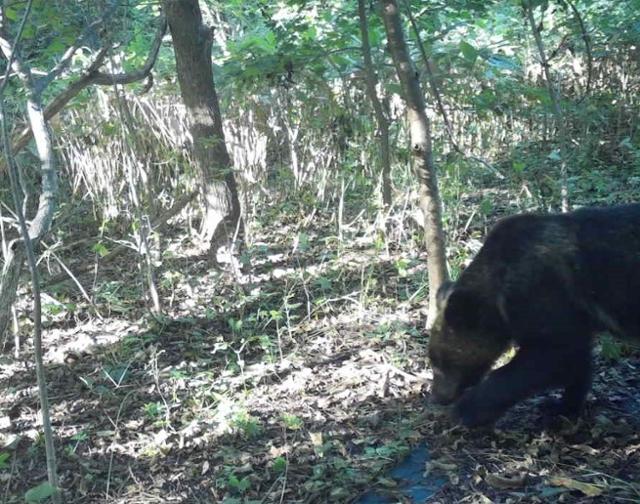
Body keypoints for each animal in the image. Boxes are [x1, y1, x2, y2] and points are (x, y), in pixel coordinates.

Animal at [428, 203, 640, 428]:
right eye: (433, 359)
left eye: (439, 362)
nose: (438, 396)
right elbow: (577, 359)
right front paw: (562, 407)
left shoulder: (540, 291)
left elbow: (553, 354)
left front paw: (467, 410)